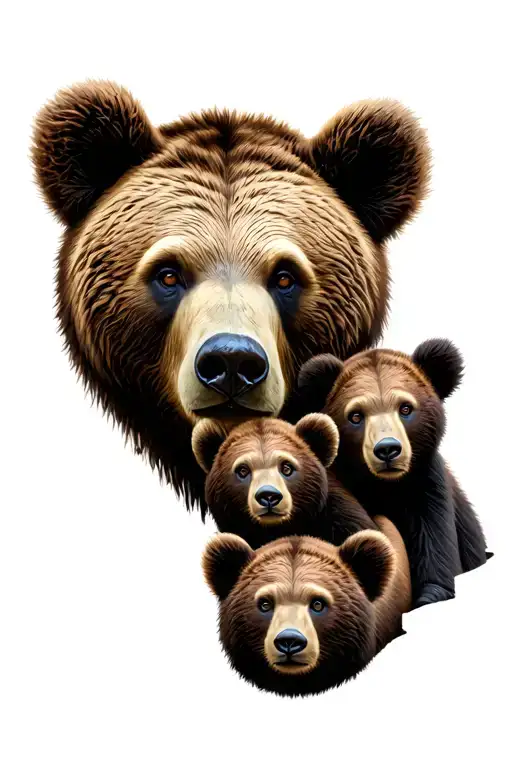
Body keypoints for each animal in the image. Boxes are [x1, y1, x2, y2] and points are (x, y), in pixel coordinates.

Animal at [295, 338, 489, 609]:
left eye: (405, 408)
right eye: (356, 415)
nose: (387, 449)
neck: (383, 487)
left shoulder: (426, 488)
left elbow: (435, 549)